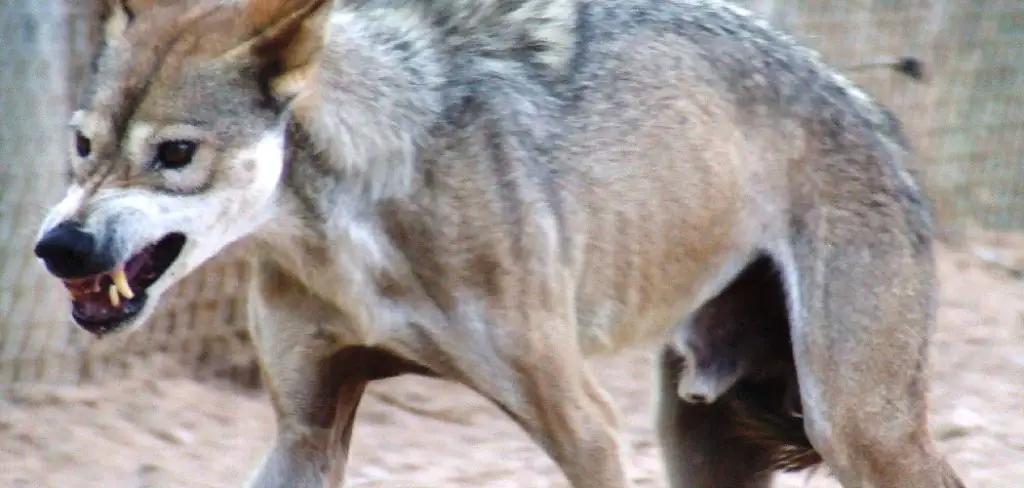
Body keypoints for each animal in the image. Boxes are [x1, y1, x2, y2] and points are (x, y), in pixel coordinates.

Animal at [33, 0, 966, 486]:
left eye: (175, 153)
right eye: (83, 144)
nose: (59, 247)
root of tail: (872, 111)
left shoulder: (586, 427)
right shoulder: (305, 428)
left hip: (859, 430)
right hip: (701, 434)